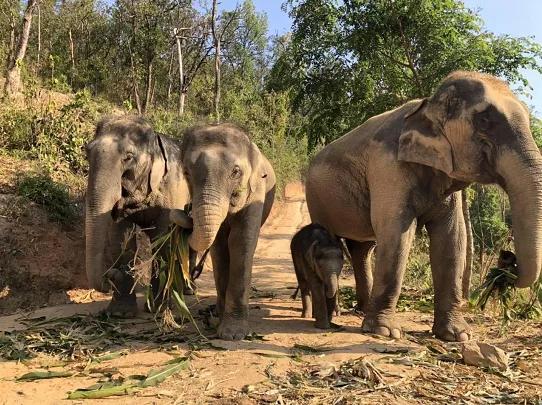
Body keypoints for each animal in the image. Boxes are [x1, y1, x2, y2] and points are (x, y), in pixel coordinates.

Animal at [85, 115, 193, 314]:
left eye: (128, 157)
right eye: (86, 153)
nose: (110, 275)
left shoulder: (172, 189)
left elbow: (163, 239)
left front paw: (159, 310)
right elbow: (120, 238)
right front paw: (119, 313)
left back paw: (187, 291)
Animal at [169, 122, 276, 338]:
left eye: (235, 172)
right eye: (186, 173)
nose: (186, 209)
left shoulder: (256, 191)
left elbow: (240, 241)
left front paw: (232, 334)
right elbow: (219, 246)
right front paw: (220, 318)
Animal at [306, 70, 542, 340]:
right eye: (484, 121)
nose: (507, 260)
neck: (427, 105)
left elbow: (452, 239)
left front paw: (457, 335)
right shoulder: (388, 166)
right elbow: (397, 234)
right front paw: (385, 332)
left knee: (362, 249)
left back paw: (361, 310)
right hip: (317, 200)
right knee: (335, 241)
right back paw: (335, 313)